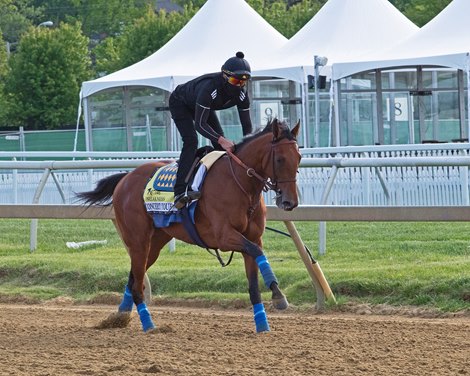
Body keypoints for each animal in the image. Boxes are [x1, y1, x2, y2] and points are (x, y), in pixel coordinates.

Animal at [77, 119, 302, 334]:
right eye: (280, 159)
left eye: (299, 158)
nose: (290, 202)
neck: (241, 186)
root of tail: (125, 178)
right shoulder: (224, 236)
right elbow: (257, 252)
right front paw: (278, 296)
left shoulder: (253, 237)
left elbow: (254, 280)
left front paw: (263, 323)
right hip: (138, 240)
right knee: (137, 285)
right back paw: (149, 325)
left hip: (154, 244)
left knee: (133, 278)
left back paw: (120, 316)